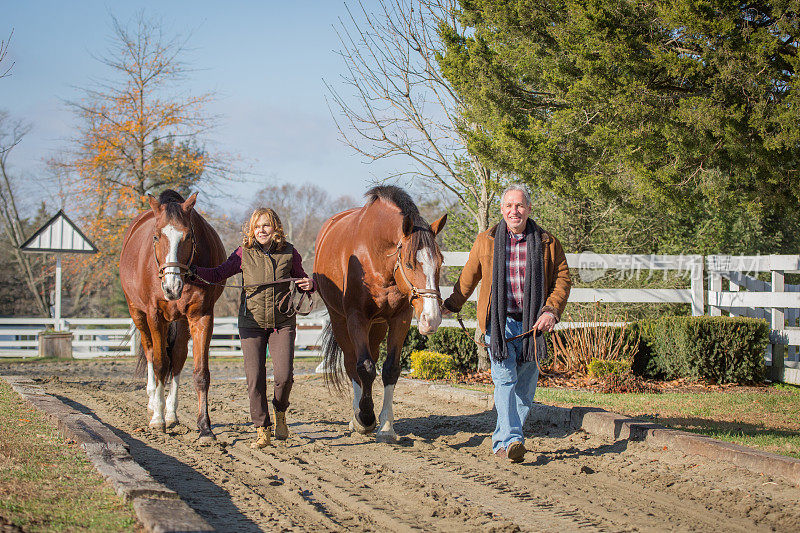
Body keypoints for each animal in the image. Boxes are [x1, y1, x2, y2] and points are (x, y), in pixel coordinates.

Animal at [119, 189, 225, 438]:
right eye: (156, 237)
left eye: (187, 236)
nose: (171, 287)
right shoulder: (155, 316)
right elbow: (159, 363)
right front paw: (158, 419)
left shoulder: (201, 316)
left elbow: (200, 372)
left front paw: (204, 427)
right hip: (138, 314)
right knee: (150, 352)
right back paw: (153, 401)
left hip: (181, 322)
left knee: (176, 358)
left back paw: (171, 412)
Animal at [314, 185, 450, 442]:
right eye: (409, 264)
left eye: (440, 262)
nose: (432, 318)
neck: (374, 257)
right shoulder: (356, 318)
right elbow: (364, 367)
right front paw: (365, 418)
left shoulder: (400, 319)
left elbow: (390, 369)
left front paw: (386, 426)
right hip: (340, 321)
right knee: (351, 364)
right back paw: (356, 416)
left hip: (377, 326)